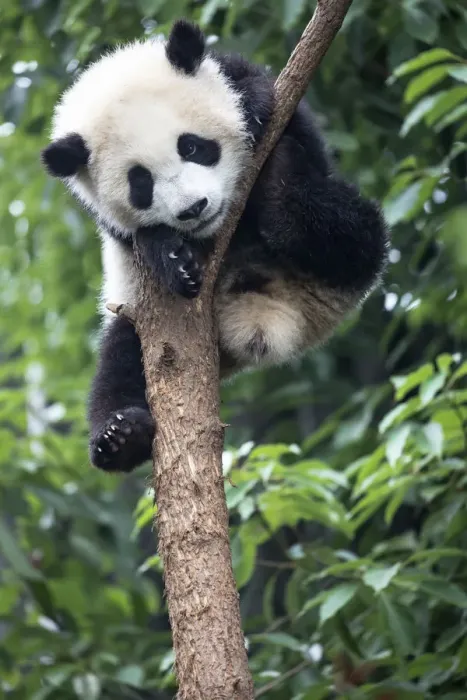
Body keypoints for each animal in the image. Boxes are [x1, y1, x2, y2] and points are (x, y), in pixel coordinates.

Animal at [41, 19, 389, 473]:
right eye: (141, 183)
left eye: (191, 146)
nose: (194, 208)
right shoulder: (104, 219)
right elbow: (135, 240)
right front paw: (173, 257)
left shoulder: (258, 88)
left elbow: (268, 103)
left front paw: (255, 117)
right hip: (137, 312)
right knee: (120, 360)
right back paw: (120, 436)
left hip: (333, 273)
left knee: (353, 237)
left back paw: (281, 185)